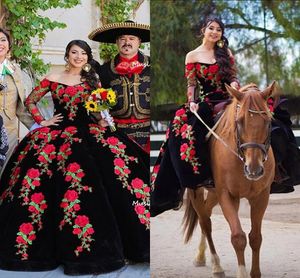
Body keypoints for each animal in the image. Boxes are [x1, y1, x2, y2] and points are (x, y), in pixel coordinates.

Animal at [182, 82, 276, 278]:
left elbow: (255, 237)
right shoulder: (226, 195)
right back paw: (216, 265)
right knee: (205, 222)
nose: (254, 169)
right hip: (197, 191)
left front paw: (255, 273)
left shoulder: (261, 197)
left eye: (268, 121)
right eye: (239, 121)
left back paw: (201, 256)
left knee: (207, 213)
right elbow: (238, 236)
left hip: (214, 194)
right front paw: (242, 272)